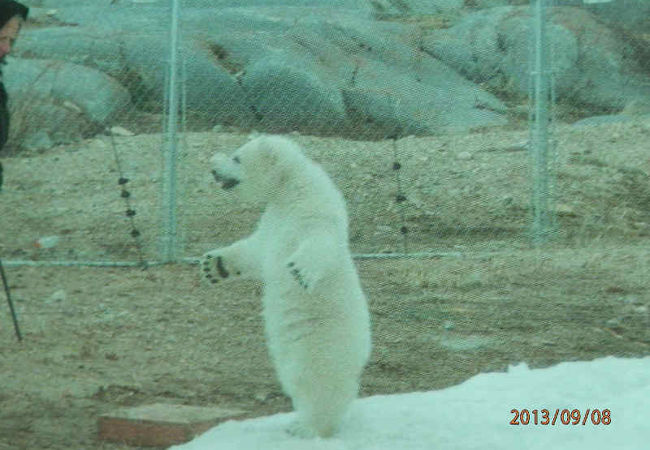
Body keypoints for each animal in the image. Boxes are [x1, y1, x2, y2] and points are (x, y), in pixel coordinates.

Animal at [199, 135, 370, 438]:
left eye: (236, 157)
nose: (213, 168)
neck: (290, 185)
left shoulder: (312, 208)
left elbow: (319, 239)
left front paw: (300, 271)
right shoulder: (273, 220)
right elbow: (256, 250)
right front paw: (214, 266)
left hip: (321, 341)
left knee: (317, 382)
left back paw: (309, 428)